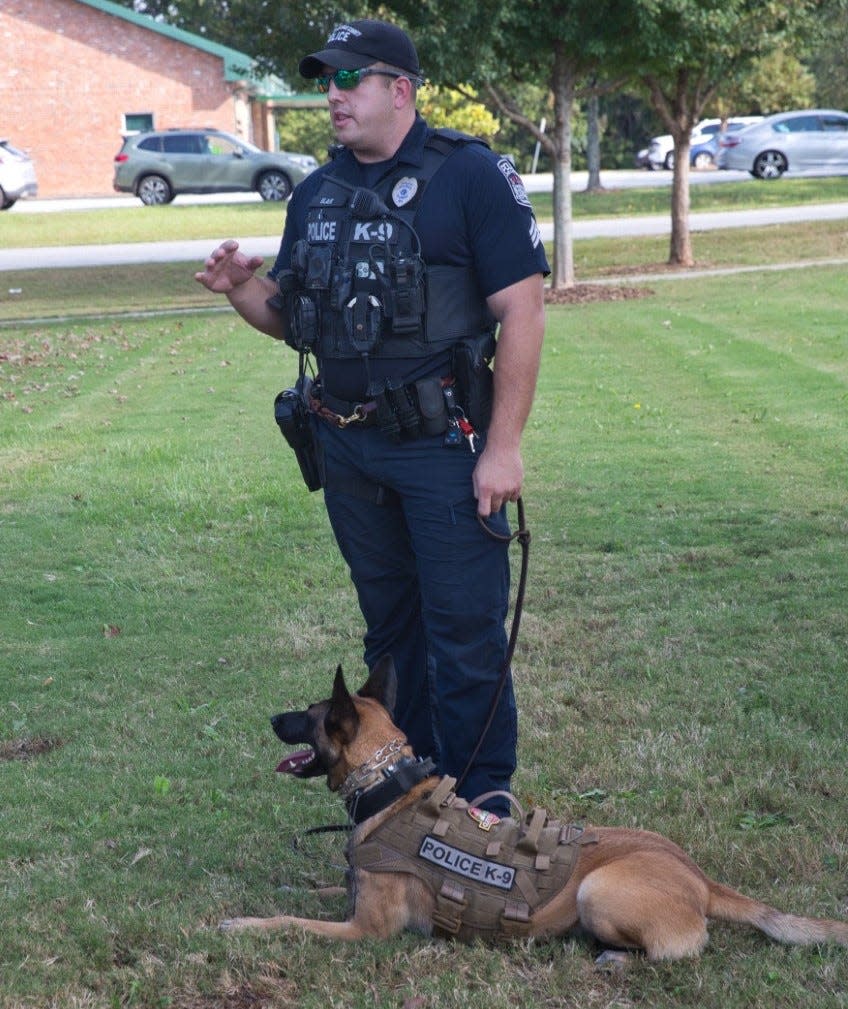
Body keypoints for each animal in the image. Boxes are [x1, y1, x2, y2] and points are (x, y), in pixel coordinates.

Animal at [220, 653, 848, 960]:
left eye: (307, 715)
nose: (271, 718)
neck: (390, 786)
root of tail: (701, 878)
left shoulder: (365, 932)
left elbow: (293, 923)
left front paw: (246, 923)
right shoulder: (353, 896)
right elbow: (321, 890)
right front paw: (292, 887)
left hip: (598, 891)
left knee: (678, 951)